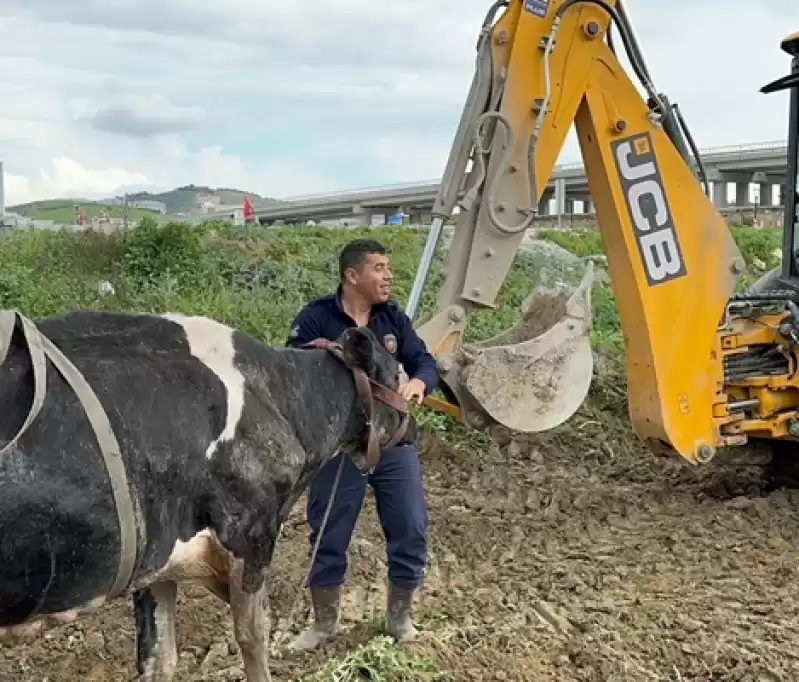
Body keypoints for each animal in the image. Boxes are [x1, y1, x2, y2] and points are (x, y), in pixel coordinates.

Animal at [0, 310, 412, 680]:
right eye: (398, 373)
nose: (410, 431)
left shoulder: (158, 563)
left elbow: (160, 659)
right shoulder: (251, 535)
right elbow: (253, 636)